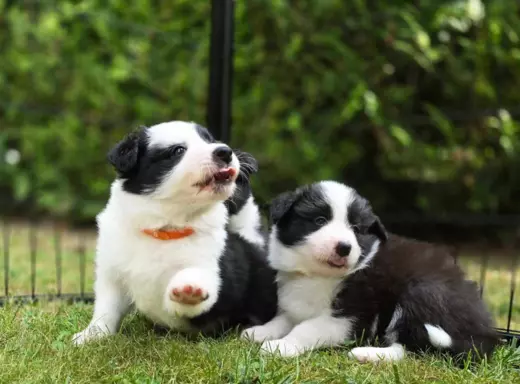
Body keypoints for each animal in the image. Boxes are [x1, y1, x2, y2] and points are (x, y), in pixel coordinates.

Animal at [73, 121, 278, 344]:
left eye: (209, 140)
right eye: (178, 150)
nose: (225, 151)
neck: (165, 229)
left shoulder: (213, 270)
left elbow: (197, 285)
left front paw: (189, 291)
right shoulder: (112, 273)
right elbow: (106, 309)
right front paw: (91, 335)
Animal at [244, 182, 500, 362]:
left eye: (356, 229)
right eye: (319, 220)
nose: (344, 247)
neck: (319, 276)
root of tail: (484, 335)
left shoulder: (350, 317)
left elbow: (307, 328)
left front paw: (281, 346)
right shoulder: (295, 306)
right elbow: (283, 319)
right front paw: (259, 332)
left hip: (422, 292)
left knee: (411, 349)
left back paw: (367, 354)